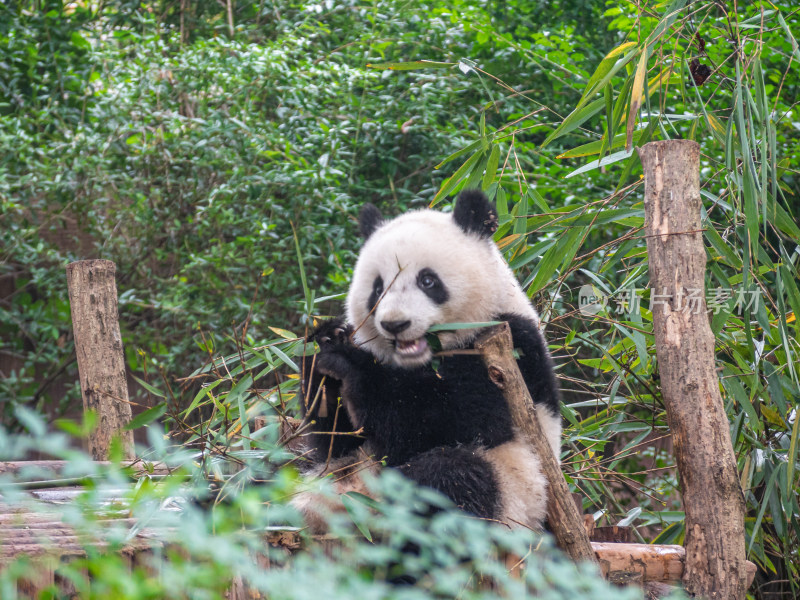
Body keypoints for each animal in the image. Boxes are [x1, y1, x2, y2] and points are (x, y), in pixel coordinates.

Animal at [294, 190, 564, 532]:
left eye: (427, 281)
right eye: (378, 288)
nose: (395, 324)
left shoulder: (509, 352)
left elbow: (447, 419)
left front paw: (350, 364)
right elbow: (338, 439)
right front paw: (327, 341)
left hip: (517, 493)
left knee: (453, 479)